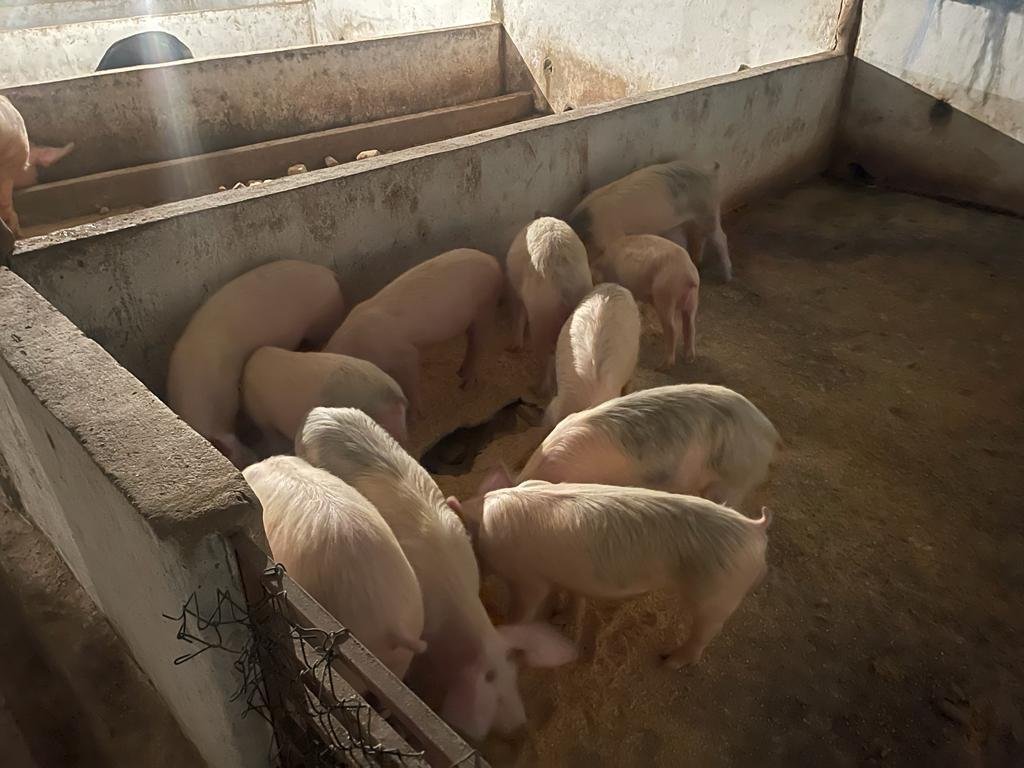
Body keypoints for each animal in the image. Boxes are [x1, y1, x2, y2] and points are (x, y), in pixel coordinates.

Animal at [324, 249, 502, 414]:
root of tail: (492, 259)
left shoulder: (405, 354)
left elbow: (410, 382)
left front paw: (416, 414)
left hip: (485, 306)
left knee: (480, 342)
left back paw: (466, 385)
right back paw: (460, 372)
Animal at [450, 480, 771, 668]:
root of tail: (753, 528)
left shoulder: (526, 579)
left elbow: (523, 610)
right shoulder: (564, 574)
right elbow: (572, 597)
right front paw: (561, 618)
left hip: (718, 594)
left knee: (705, 633)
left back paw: (667, 661)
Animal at [506, 218, 593, 391]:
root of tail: (563, 287)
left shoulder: (515, 291)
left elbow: (518, 313)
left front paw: (513, 347)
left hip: (540, 317)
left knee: (546, 354)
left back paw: (538, 389)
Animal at [568, 159, 732, 281]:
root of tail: (710, 170)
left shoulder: (612, 238)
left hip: (709, 209)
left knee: (720, 237)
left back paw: (728, 277)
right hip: (682, 222)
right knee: (697, 237)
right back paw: (697, 263)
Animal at [594, 234, 700, 368]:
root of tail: (689, 275)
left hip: (665, 296)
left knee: (672, 328)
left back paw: (662, 366)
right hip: (692, 300)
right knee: (690, 326)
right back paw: (689, 359)